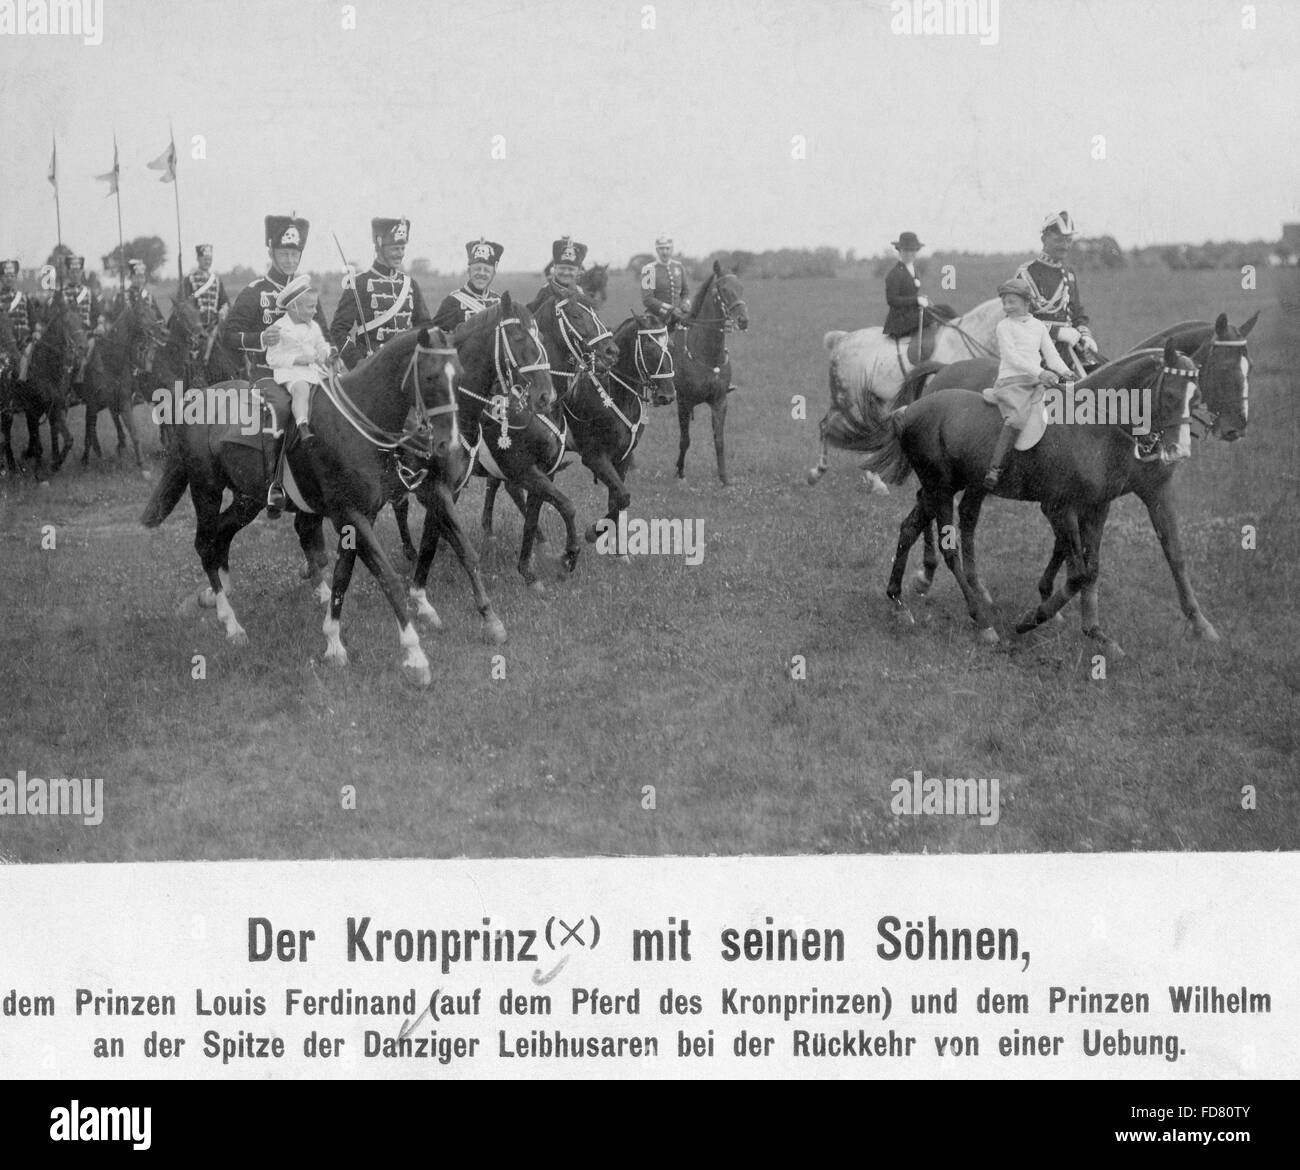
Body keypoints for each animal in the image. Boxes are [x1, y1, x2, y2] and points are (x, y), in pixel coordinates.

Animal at [141, 325, 462, 686]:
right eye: (432, 376)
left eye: (459, 375)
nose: (448, 445)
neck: (354, 424)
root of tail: (193, 400)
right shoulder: (351, 516)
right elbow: (387, 578)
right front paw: (415, 655)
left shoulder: (354, 518)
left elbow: (341, 576)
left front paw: (334, 643)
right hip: (206, 491)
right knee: (206, 544)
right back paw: (231, 623)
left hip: (247, 499)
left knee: (221, 536)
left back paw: (218, 592)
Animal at [676, 260, 748, 483]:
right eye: (723, 289)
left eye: (741, 287)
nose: (743, 320)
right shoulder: (683, 402)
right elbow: (685, 439)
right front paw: (680, 472)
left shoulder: (719, 402)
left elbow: (719, 441)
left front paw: (724, 479)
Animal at [800, 301, 1003, 488]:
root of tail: (842, 338)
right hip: (846, 398)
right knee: (826, 426)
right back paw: (817, 473)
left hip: (875, 400)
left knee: (876, 434)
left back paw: (875, 480)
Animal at [857, 338, 1222, 652]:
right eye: (1171, 395)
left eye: (1197, 397)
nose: (1178, 452)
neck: (1094, 424)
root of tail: (908, 411)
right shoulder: (1060, 506)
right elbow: (1079, 571)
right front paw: (1034, 618)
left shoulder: (1100, 505)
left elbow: (1097, 566)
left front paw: (1097, 633)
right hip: (942, 488)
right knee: (950, 548)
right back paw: (981, 620)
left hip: (946, 488)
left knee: (912, 527)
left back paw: (899, 602)